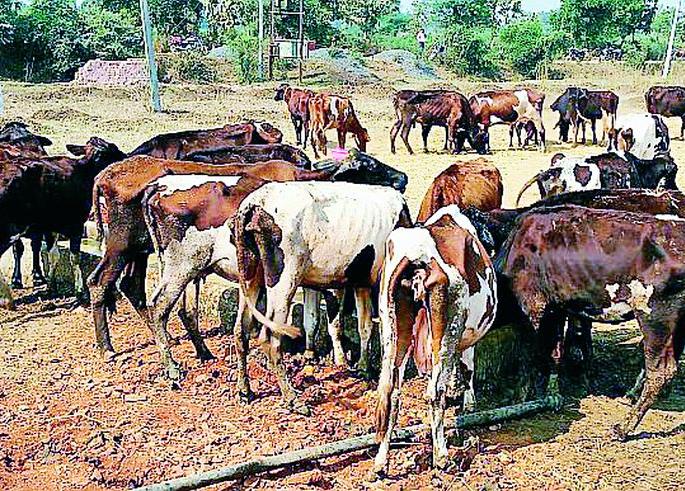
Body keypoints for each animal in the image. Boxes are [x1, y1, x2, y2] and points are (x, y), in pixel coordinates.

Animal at [0, 138, 126, 297]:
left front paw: (50, 286)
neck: (83, 172)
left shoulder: (51, 226)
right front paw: (79, 289)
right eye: (112, 148)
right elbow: (74, 257)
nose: (124, 156)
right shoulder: (76, 224)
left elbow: (53, 255)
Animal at [232, 182, 411, 413]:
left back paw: (244, 391)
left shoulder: (359, 283)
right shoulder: (380, 283)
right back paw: (292, 398)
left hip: (250, 275)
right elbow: (385, 330)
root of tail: (255, 202)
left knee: (240, 330)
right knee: (270, 338)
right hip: (284, 279)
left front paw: (363, 368)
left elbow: (363, 326)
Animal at [374, 206, 497, 473]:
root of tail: (417, 255)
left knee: (391, 393)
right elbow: (468, 369)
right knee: (434, 393)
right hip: (448, 331)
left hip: (392, 329)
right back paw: (441, 456)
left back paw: (380, 461)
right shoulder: (467, 339)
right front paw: (469, 404)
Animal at [495, 205, 685, 441]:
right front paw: (553, 395)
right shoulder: (557, 309)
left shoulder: (533, 307)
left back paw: (623, 427)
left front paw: (520, 398)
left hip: (656, 314)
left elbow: (529, 357)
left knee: (660, 372)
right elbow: (555, 353)